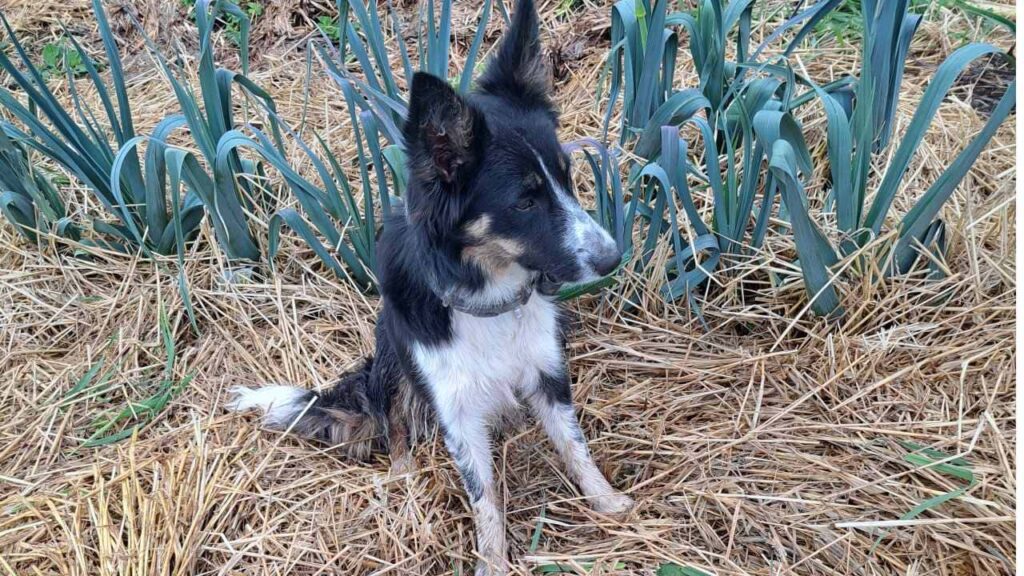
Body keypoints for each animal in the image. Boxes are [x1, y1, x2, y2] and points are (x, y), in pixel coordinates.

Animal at [226, 0, 630, 569]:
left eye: (567, 177)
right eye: (525, 201)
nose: (613, 257)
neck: (490, 297)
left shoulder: (547, 369)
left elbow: (574, 444)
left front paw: (607, 502)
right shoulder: (453, 406)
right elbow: (484, 496)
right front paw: (493, 563)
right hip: (392, 358)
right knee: (393, 419)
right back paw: (401, 475)